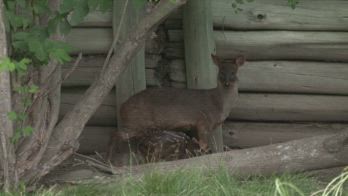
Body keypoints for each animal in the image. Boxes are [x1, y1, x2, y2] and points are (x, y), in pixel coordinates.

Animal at [107, 54, 243, 161]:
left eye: (233, 72)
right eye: (221, 72)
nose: (227, 83)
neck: (219, 105)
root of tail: (122, 107)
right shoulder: (203, 120)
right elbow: (203, 145)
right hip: (135, 122)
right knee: (115, 134)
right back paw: (110, 160)